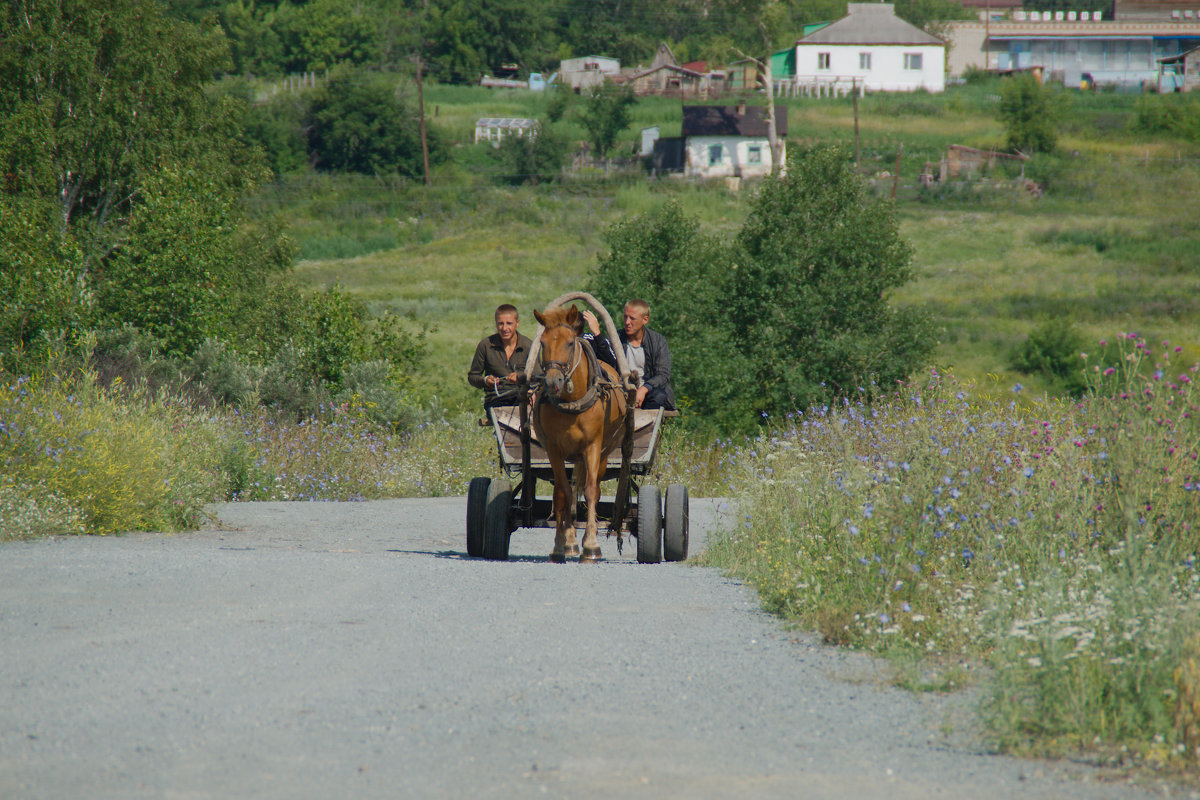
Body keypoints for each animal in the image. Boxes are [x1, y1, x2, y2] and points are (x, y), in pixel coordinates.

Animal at [532, 307, 628, 563]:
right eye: (543, 343)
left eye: (568, 343)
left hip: (601, 454)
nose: (553, 381)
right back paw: (571, 541)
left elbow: (591, 490)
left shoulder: (592, 446)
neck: (571, 402)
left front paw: (592, 545)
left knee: (591, 487)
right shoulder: (554, 450)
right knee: (570, 491)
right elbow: (562, 493)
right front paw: (560, 544)